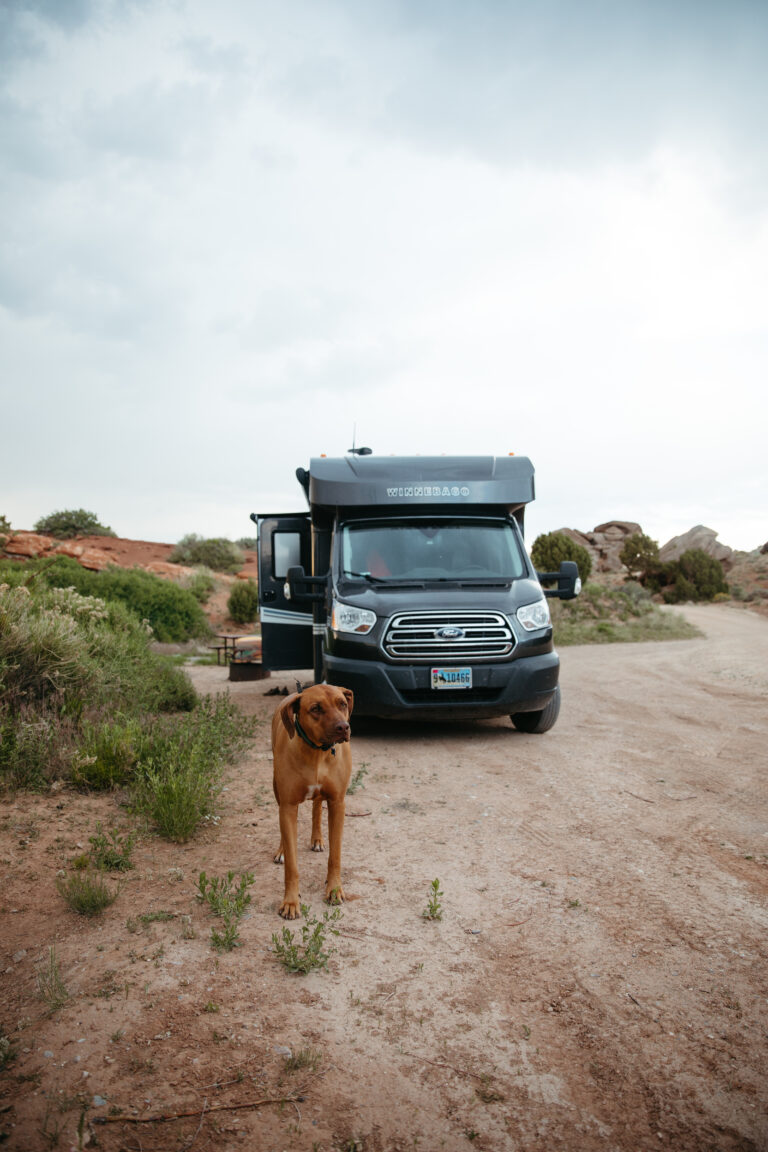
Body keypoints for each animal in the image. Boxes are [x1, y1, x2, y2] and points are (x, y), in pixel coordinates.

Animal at [270, 681, 354, 916]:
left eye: (342, 704)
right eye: (316, 708)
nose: (343, 727)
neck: (317, 752)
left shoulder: (337, 802)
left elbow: (335, 856)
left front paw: (334, 890)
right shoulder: (288, 805)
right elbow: (292, 865)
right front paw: (290, 902)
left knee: (317, 807)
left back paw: (317, 838)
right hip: (277, 790)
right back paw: (281, 850)